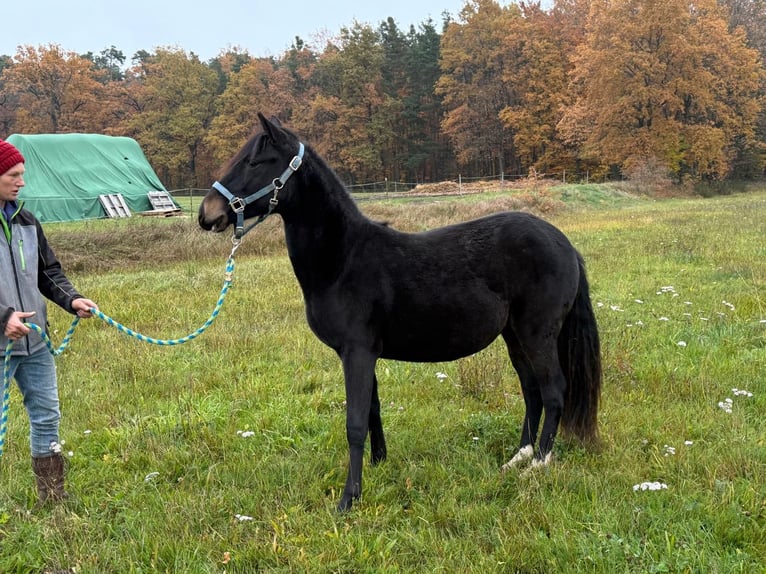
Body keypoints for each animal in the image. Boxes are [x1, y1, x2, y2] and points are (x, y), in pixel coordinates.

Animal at [198, 114, 602, 512]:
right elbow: (373, 412)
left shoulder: (358, 352)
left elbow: (355, 422)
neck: (343, 259)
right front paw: (379, 465)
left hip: (537, 333)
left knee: (553, 390)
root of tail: (564, 243)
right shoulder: (361, 353)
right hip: (514, 335)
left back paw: (538, 464)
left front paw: (349, 498)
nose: (207, 214)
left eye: (255, 162)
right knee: (532, 391)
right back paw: (518, 457)